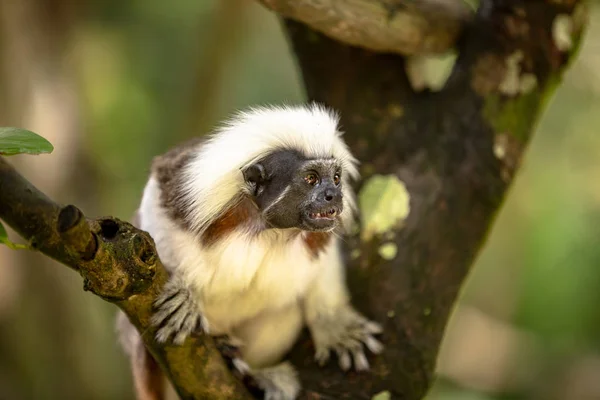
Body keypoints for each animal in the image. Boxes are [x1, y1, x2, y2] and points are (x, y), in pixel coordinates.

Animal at [117, 104, 384, 400]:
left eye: (336, 179)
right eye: (311, 178)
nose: (333, 195)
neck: (269, 229)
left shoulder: (314, 237)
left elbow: (322, 264)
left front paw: (336, 327)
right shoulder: (189, 194)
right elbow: (154, 210)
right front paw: (184, 291)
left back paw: (252, 374)